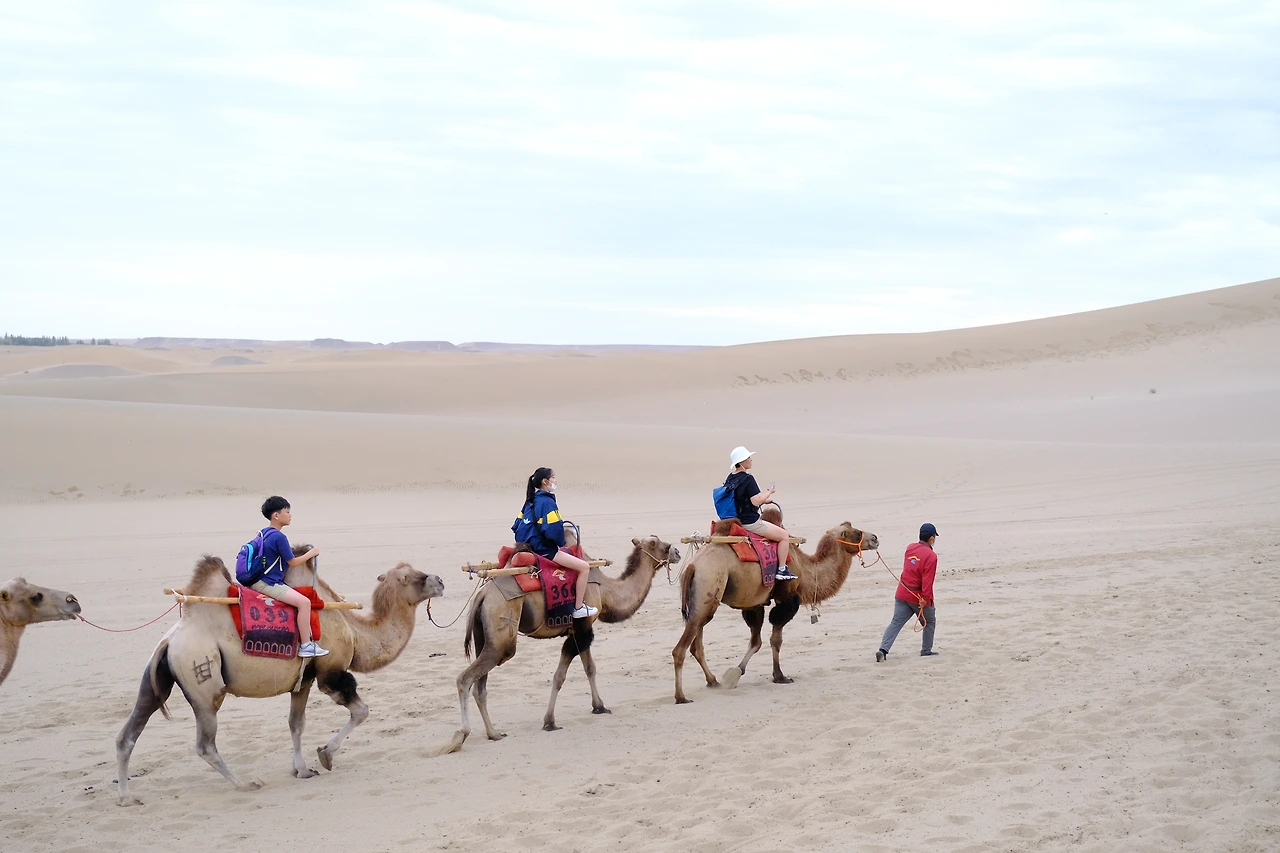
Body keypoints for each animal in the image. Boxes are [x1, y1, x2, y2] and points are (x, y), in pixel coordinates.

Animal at [115, 549, 444, 805]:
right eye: (413, 577)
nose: (440, 580)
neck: (355, 630)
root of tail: (171, 640)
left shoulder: (303, 681)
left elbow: (296, 724)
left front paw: (302, 769)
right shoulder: (331, 673)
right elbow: (361, 711)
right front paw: (325, 755)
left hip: (155, 678)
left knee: (127, 734)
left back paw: (127, 798)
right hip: (203, 681)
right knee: (205, 744)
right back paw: (245, 783)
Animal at [441, 535, 680, 754]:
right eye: (663, 545)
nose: (677, 552)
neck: (606, 591)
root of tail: (481, 595)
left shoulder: (580, 629)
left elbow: (589, 668)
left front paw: (599, 707)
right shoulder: (581, 628)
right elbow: (560, 676)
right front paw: (550, 721)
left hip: (485, 637)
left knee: (480, 687)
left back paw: (494, 733)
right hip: (502, 631)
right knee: (466, 679)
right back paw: (460, 736)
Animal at [672, 516, 878, 703]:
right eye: (857, 533)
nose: (875, 538)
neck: (805, 568)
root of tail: (692, 565)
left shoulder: (755, 603)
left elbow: (756, 642)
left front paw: (736, 672)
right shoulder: (786, 599)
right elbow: (775, 639)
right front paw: (780, 676)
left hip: (701, 602)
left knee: (696, 644)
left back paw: (712, 681)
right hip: (709, 584)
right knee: (680, 649)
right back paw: (681, 697)